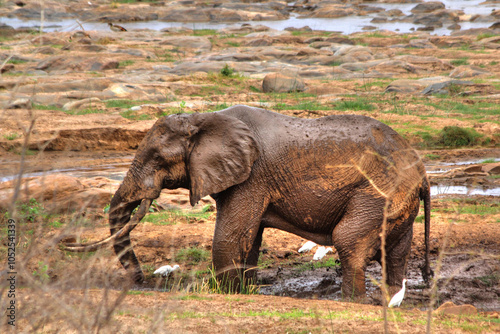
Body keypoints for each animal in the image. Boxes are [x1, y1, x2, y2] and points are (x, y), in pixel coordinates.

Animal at [64, 104, 432, 298]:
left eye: (157, 158)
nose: (141, 281)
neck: (204, 118)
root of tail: (422, 170)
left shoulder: (251, 176)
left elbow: (230, 236)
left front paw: (225, 293)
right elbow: (249, 239)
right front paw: (246, 292)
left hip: (379, 190)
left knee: (349, 240)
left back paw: (352, 302)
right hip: (398, 201)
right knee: (396, 251)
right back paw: (389, 300)